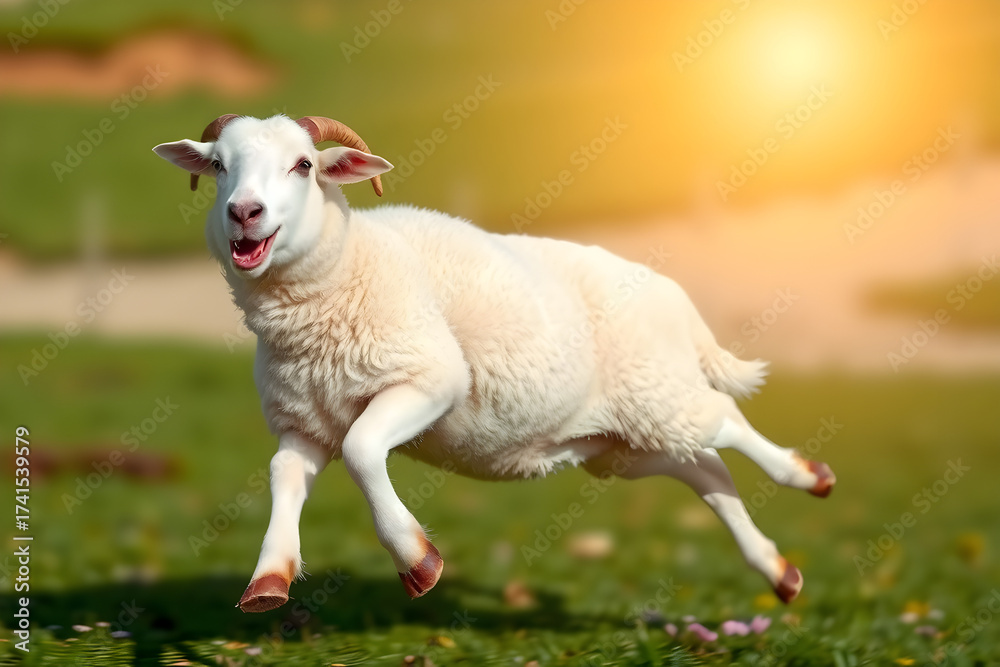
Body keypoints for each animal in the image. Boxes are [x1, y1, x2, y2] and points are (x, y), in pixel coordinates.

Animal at [153, 114, 836, 613]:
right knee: (709, 471)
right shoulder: (304, 422)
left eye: (303, 165)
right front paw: (269, 578)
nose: (245, 213)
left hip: (658, 392)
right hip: (627, 440)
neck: (342, 276)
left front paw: (418, 562)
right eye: (219, 167)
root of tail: (676, 296)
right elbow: (284, 476)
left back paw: (809, 477)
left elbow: (363, 447)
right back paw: (779, 572)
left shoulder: (430, 380)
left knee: (726, 421)